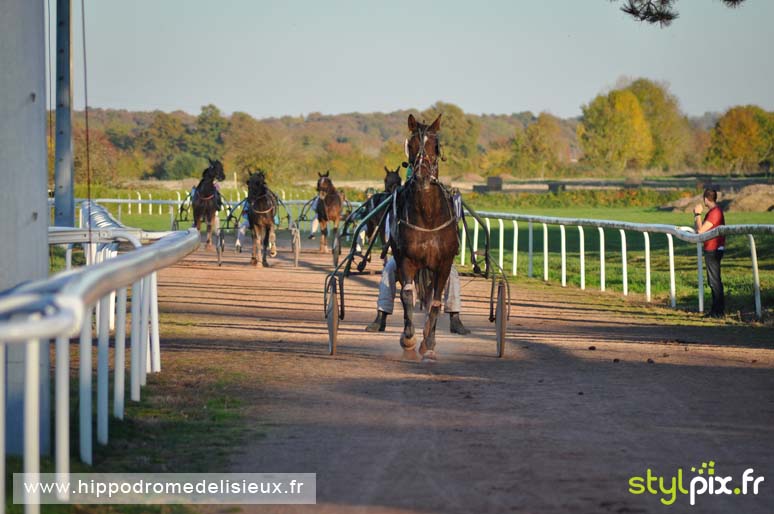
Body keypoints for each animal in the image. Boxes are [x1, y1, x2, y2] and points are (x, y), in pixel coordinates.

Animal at [392, 113, 458, 360]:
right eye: (410, 145)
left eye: (435, 145)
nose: (421, 177)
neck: (428, 217)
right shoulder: (406, 260)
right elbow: (407, 296)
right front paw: (409, 340)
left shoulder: (444, 263)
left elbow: (436, 303)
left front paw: (428, 344)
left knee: (430, 297)